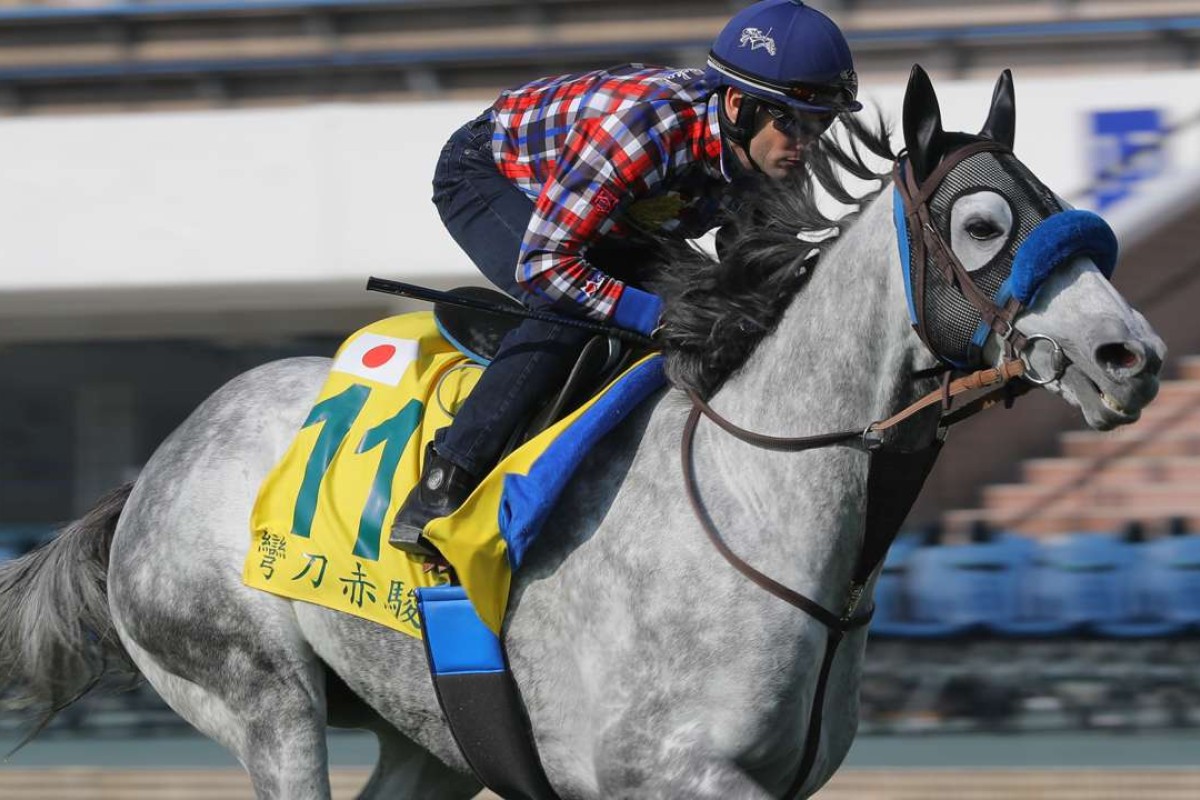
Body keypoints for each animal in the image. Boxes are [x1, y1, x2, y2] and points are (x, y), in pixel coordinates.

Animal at [0, 70, 1161, 800]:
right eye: (983, 223)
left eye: (1063, 204)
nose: (1130, 354)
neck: (757, 494)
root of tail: (150, 474)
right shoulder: (665, 769)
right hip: (259, 695)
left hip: (429, 727)